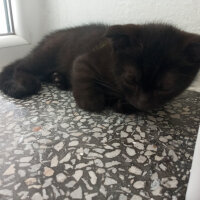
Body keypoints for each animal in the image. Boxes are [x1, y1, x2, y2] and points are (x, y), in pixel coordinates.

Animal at [0, 23, 200, 112]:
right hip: (46, 55)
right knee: (19, 66)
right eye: (130, 79)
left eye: (165, 87)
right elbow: (83, 74)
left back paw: (59, 79)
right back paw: (25, 82)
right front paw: (92, 101)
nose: (143, 102)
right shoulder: (86, 59)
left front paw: (124, 104)